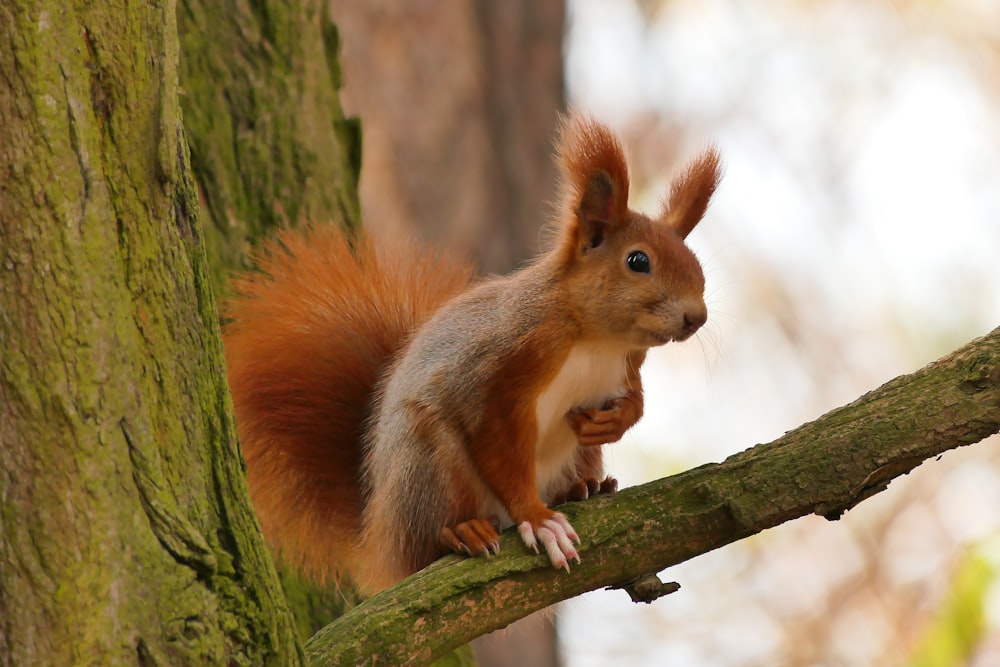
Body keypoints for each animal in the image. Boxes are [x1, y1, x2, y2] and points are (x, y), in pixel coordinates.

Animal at [223, 116, 720, 596]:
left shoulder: (627, 364)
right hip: (430, 460)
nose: (696, 317)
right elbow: (497, 443)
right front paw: (537, 519)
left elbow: (635, 399)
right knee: (433, 534)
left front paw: (613, 422)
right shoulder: (500, 368)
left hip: (572, 455)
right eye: (638, 262)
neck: (598, 339)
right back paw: (464, 531)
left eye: (696, 262)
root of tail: (381, 534)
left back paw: (585, 487)